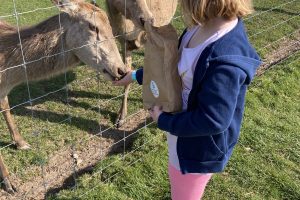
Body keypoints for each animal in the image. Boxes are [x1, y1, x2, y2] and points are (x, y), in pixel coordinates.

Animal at [0, 0, 127, 194]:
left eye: (111, 26)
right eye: (93, 26)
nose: (121, 70)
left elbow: (6, 106)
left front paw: (21, 143)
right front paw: (10, 184)